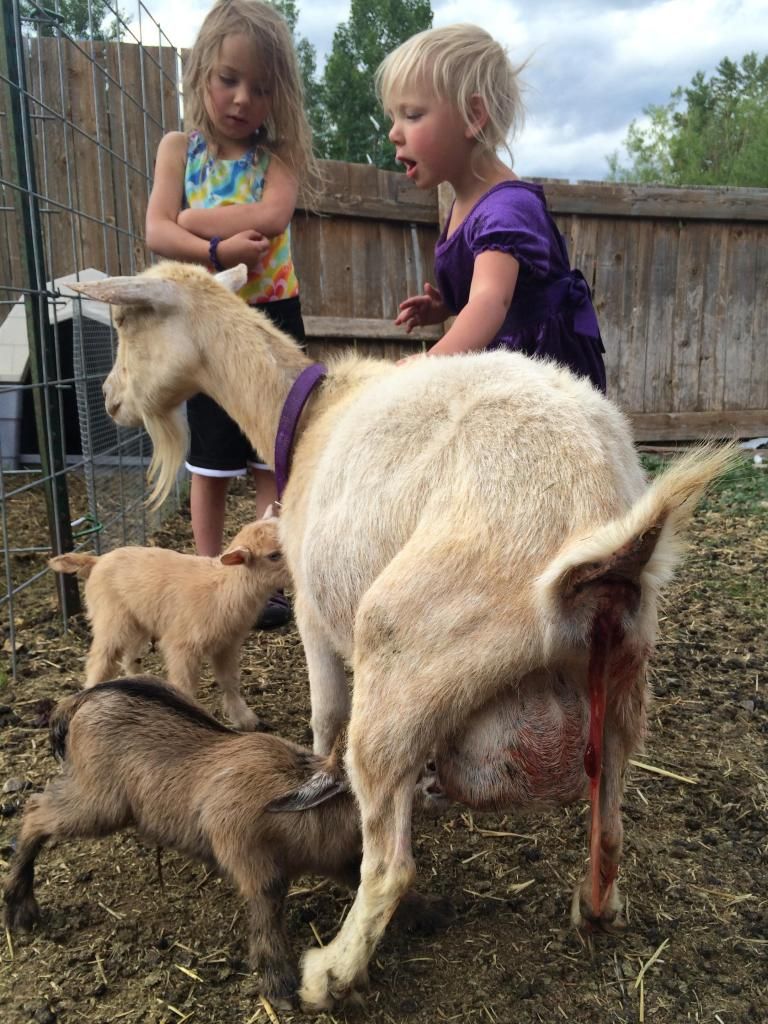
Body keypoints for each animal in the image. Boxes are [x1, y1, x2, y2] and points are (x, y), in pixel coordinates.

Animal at [48, 512, 286, 730]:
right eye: (274, 555)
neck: (223, 588)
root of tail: (96, 561)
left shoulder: (227, 645)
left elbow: (230, 681)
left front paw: (245, 719)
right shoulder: (182, 647)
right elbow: (184, 685)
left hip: (139, 621)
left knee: (130, 657)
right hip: (111, 619)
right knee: (101, 659)